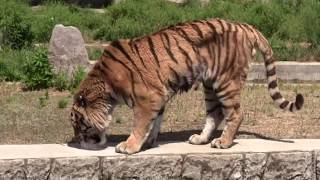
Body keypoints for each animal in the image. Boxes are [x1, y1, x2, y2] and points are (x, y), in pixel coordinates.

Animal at [69, 17, 304, 154]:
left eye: (80, 124)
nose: (79, 143)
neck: (106, 87)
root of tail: (245, 26)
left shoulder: (147, 98)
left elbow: (140, 125)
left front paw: (129, 146)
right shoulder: (159, 96)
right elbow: (155, 122)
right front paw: (149, 142)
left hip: (226, 81)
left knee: (236, 113)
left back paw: (223, 142)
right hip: (210, 85)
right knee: (215, 114)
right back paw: (200, 139)